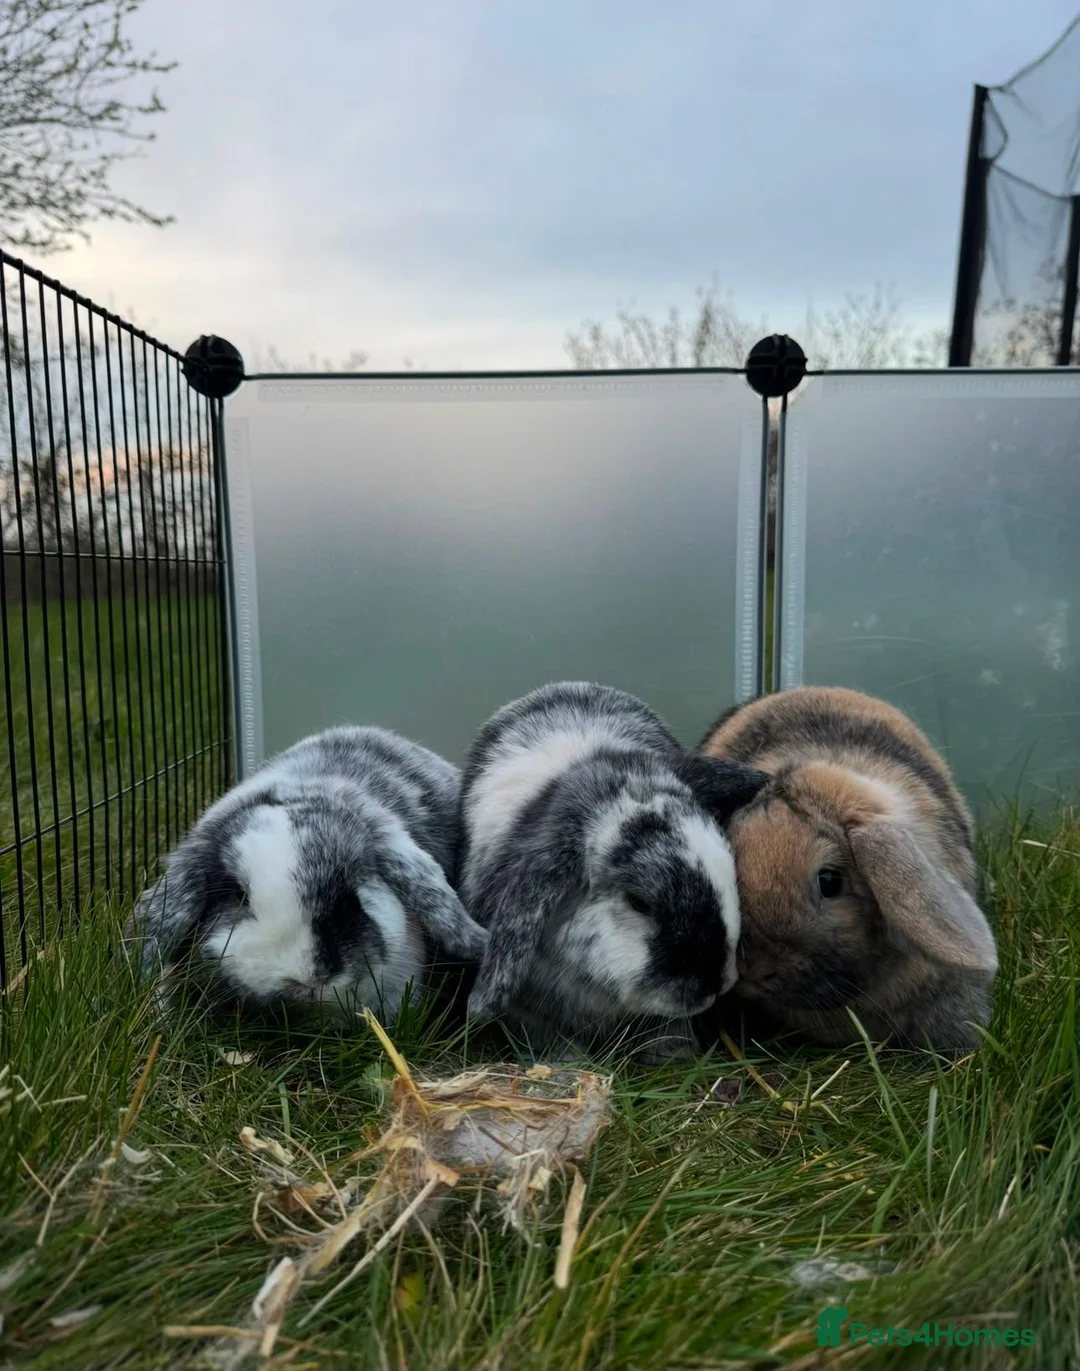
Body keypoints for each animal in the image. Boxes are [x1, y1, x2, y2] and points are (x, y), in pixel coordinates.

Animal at [457, 681, 769, 1062]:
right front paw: (567, 1062)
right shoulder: (529, 1006)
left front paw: (673, 1053)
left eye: (728, 868)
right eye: (639, 903)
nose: (715, 985)